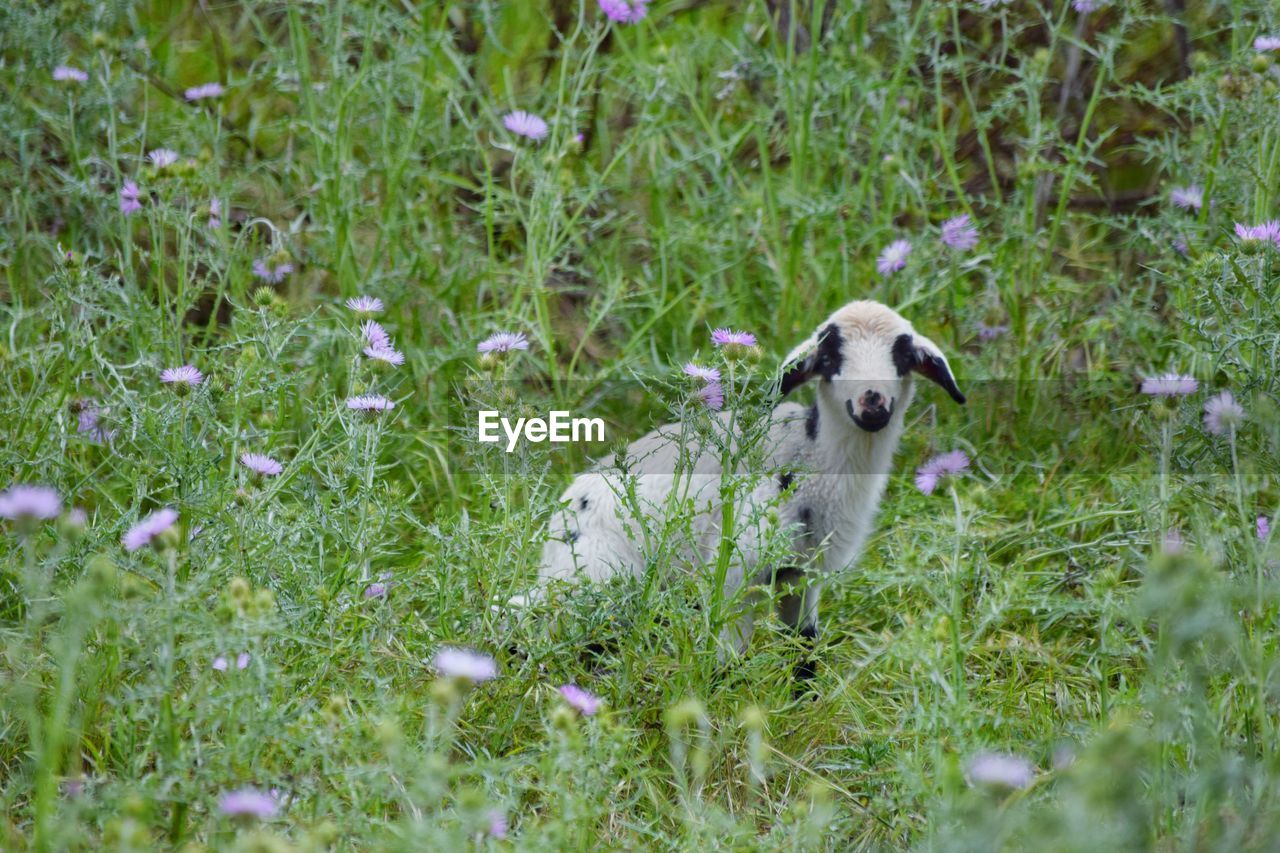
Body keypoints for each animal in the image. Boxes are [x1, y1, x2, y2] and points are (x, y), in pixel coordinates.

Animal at [519, 298, 962, 655]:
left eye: (902, 356)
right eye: (831, 357)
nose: (872, 403)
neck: (810, 457)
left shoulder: (804, 572)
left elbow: (803, 648)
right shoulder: (735, 570)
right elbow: (729, 656)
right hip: (596, 579)